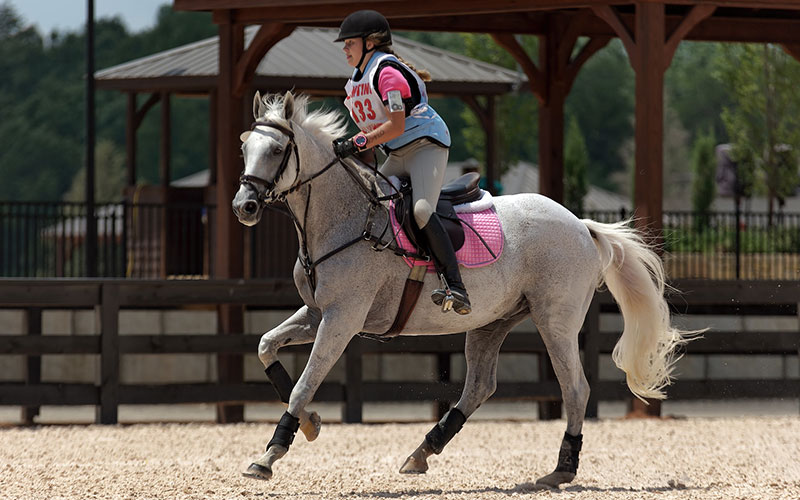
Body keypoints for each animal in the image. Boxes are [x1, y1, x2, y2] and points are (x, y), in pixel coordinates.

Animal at [234, 92, 692, 490]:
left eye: (276, 151)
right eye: (245, 149)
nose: (244, 206)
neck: (343, 219)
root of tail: (581, 224)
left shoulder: (342, 318)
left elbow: (305, 382)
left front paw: (270, 454)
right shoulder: (316, 313)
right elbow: (265, 346)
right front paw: (309, 422)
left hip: (555, 321)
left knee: (575, 388)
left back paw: (561, 470)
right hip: (493, 321)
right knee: (479, 386)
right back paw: (422, 451)